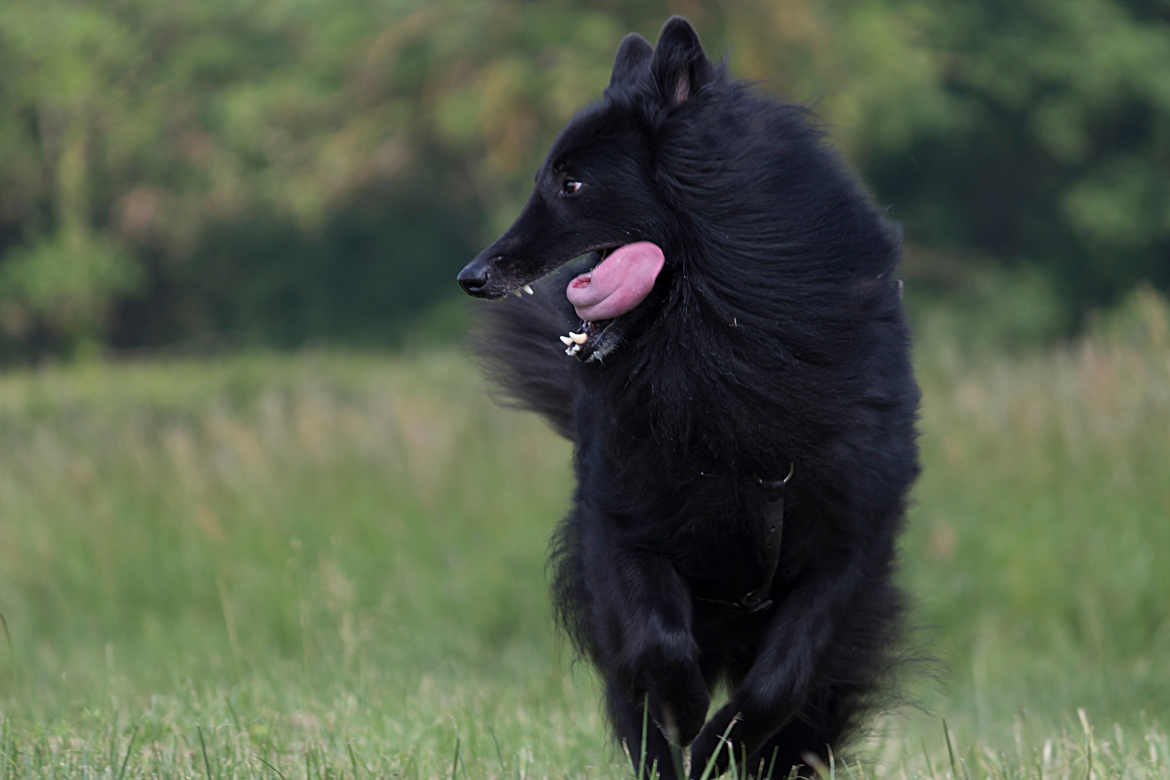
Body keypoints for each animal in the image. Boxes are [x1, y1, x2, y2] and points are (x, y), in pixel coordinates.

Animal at [456, 18, 921, 780]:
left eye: (571, 182)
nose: (472, 275)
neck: (725, 349)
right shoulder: (626, 531)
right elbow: (658, 647)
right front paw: (684, 715)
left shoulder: (845, 552)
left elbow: (779, 681)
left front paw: (716, 742)